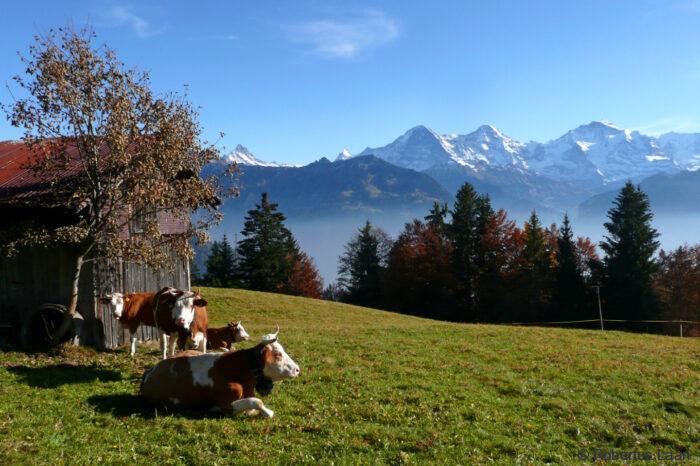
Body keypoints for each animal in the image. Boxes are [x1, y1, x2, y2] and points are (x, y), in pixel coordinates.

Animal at [139, 328, 298, 418]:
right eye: (278, 354)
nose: (297, 369)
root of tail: (150, 371)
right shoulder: (225, 404)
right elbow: (257, 401)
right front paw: (268, 413)